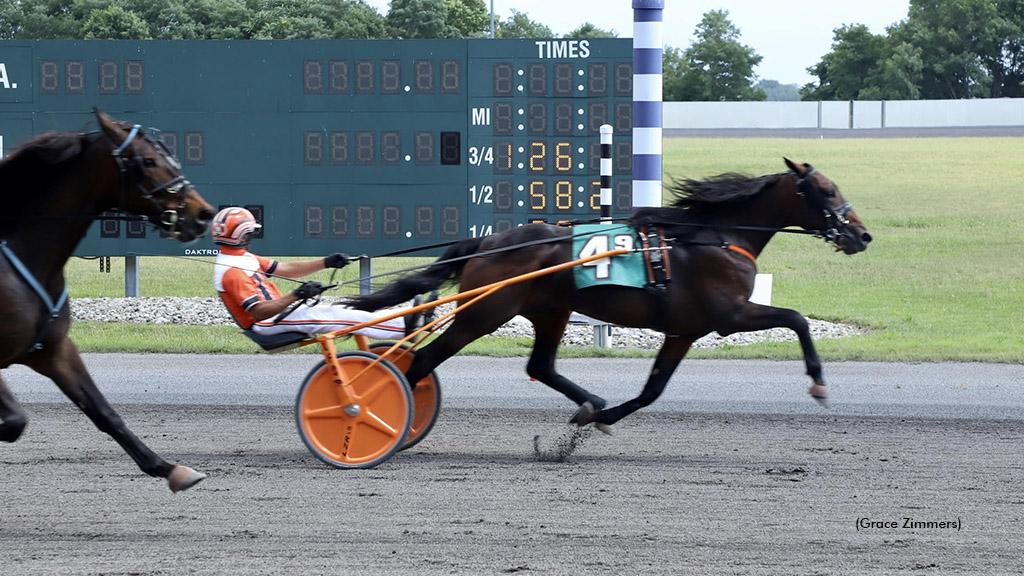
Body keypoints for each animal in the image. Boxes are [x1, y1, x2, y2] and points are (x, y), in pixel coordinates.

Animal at [0, 107, 214, 487]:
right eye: (148, 160)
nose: (202, 214)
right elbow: (13, 422)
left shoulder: (54, 349)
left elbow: (104, 412)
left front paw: (168, 467)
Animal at [350, 158, 872, 428]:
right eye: (826, 191)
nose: (862, 235)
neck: (718, 236)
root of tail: (489, 241)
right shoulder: (731, 314)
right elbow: (797, 318)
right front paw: (818, 381)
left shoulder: (684, 330)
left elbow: (654, 389)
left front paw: (604, 416)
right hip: (484, 312)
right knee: (423, 359)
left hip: (550, 310)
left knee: (541, 366)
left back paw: (591, 404)